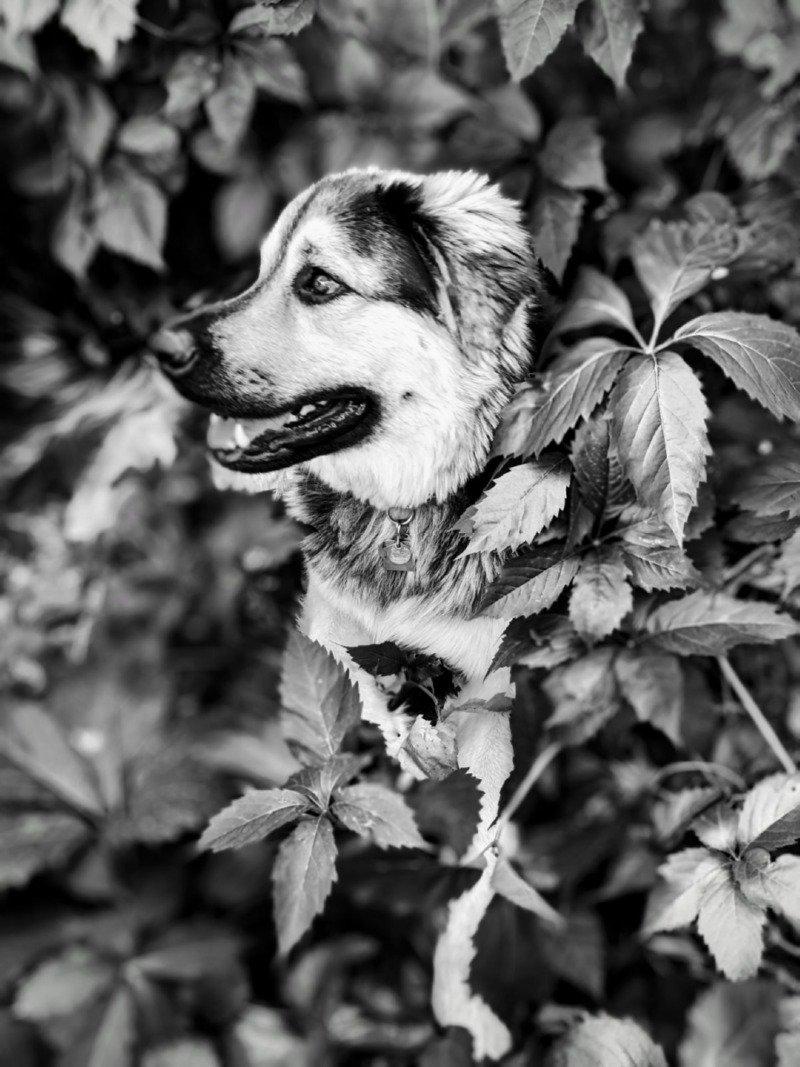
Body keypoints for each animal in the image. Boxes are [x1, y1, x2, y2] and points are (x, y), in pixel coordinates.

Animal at [154, 168, 546, 840]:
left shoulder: (495, 681)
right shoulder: (336, 641)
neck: (401, 516)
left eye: (319, 282)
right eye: (260, 272)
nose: (160, 346)